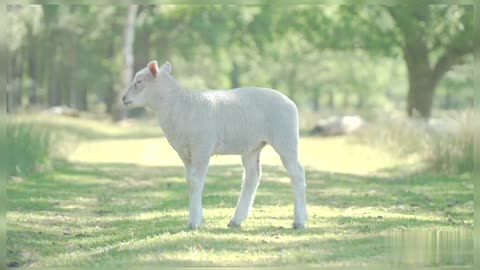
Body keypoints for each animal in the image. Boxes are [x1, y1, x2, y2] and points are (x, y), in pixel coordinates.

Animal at [121, 60, 308, 229]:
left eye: (139, 81)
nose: (123, 99)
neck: (180, 106)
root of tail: (290, 101)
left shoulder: (202, 148)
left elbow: (196, 182)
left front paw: (194, 222)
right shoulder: (185, 153)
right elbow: (190, 182)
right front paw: (197, 217)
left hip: (286, 138)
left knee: (297, 174)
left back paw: (299, 221)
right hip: (252, 146)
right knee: (252, 176)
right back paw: (237, 219)